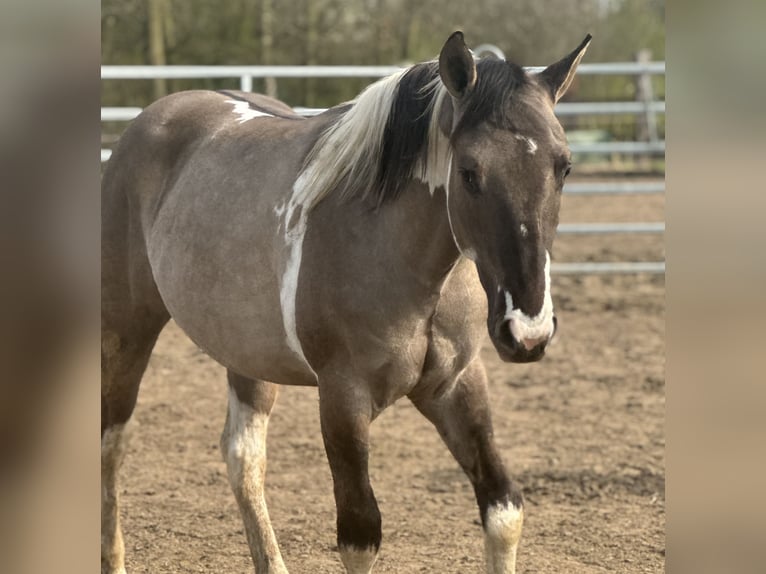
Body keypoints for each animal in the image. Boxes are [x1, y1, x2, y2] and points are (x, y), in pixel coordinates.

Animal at [101, 31, 591, 574]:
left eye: (564, 166)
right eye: (469, 172)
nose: (527, 330)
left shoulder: (457, 386)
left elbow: (503, 510)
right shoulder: (343, 399)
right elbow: (360, 535)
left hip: (247, 355)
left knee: (243, 456)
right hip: (126, 332)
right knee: (112, 447)